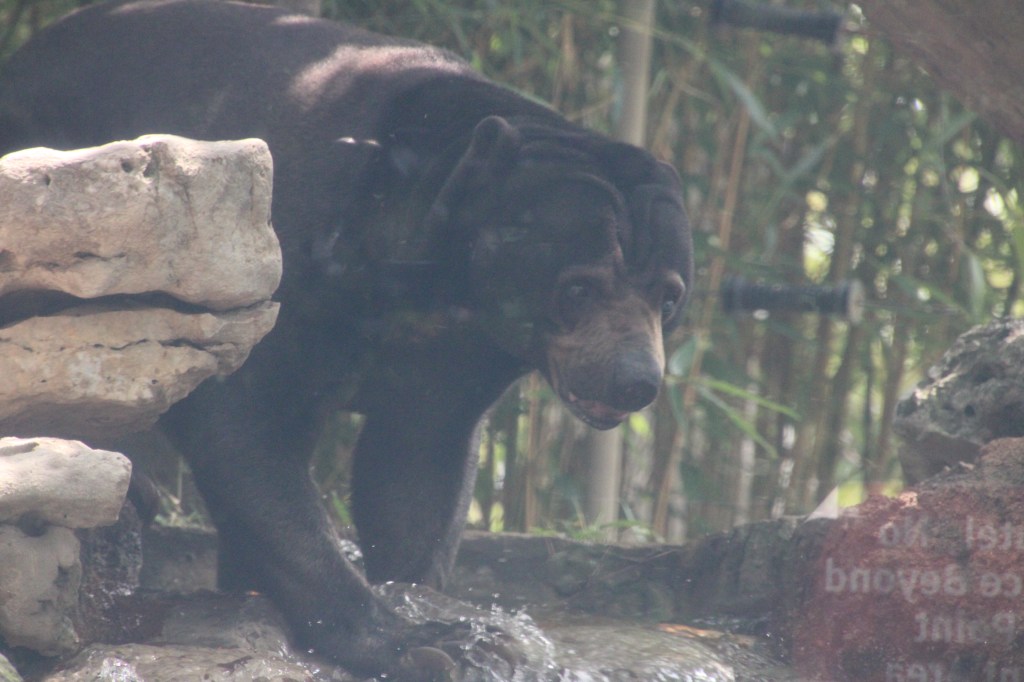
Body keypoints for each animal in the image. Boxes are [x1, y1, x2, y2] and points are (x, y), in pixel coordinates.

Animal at [0, 1, 693, 678]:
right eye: (578, 288)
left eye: (669, 297)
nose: (635, 379)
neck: (433, 285)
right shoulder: (281, 259)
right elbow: (244, 429)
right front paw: (423, 643)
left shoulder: (462, 359)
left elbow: (416, 469)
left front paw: (440, 613)